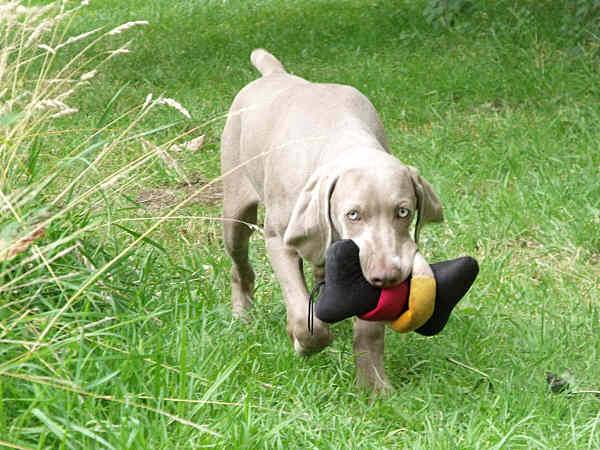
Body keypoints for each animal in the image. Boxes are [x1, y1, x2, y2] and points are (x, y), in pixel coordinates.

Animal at [220, 49, 440, 392]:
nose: (388, 276)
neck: (343, 136)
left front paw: (374, 387)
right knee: (240, 265)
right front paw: (303, 342)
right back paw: (242, 315)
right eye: (353, 214)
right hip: (236, 210)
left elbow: (369, 331)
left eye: (403, 212)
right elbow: (303, 316)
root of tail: (274, 74)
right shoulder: (280, 240)